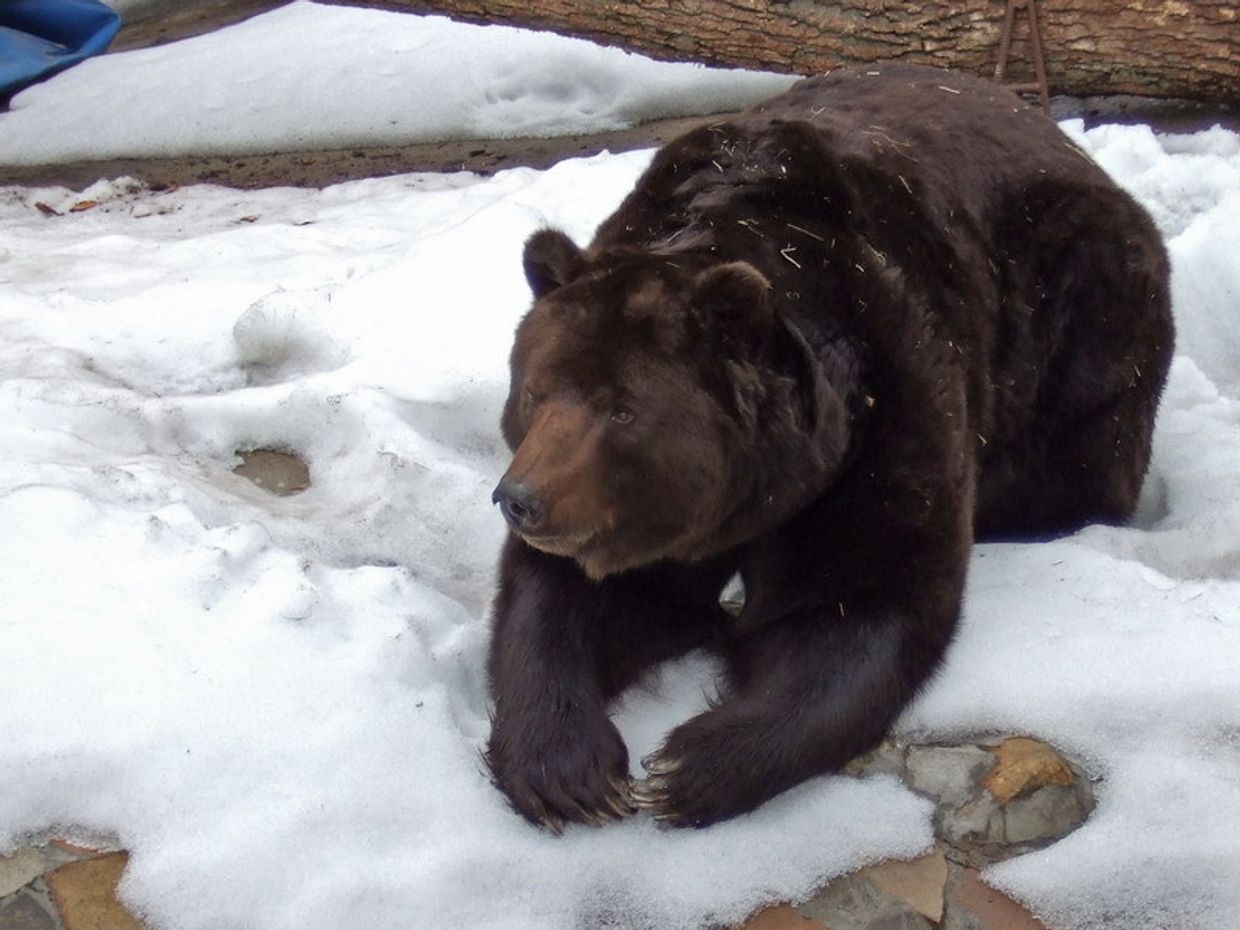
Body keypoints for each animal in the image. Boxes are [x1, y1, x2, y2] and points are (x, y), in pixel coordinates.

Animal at [484, 63, 1174, 830]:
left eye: (623, 409)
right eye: (536, 391)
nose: (521, 499)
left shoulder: (884, 412)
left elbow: (856, 604)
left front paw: (686, 768)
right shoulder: (631, 517)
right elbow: (562, 597)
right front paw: (569, 772)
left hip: (1076, 299)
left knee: (1079, 441)